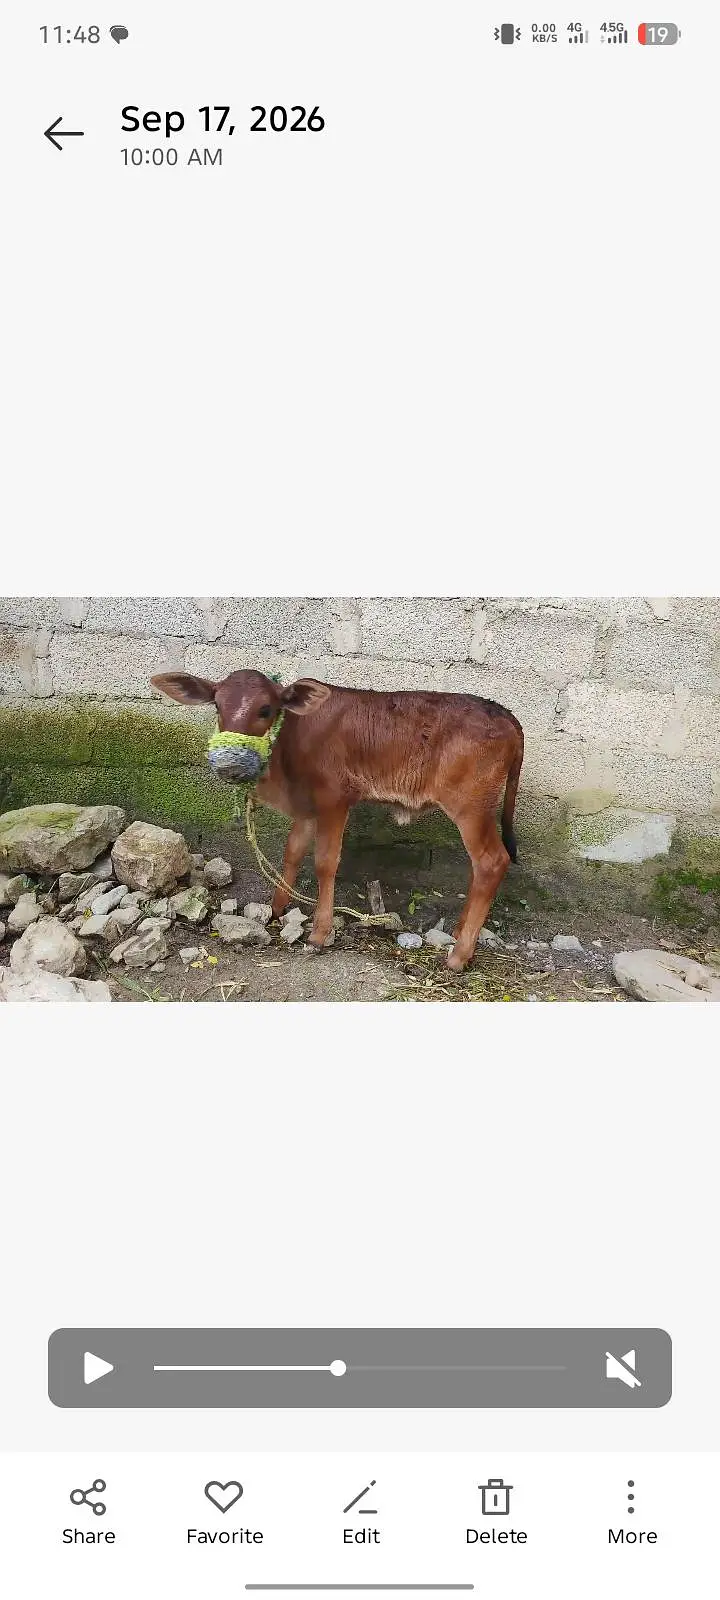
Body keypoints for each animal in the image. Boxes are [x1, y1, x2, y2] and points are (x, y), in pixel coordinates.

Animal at [151, 669, 524, 971]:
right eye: (217, 706)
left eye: (266, 709)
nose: (229, 762)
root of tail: (506, 715)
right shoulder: (307, 805)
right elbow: (293, 851)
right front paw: (276, 908)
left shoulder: (334, 799)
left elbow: (325, 862)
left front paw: (319, 933)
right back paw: (461, 931)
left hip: (471, 808)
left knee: (491, 862)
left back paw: (460, 955)